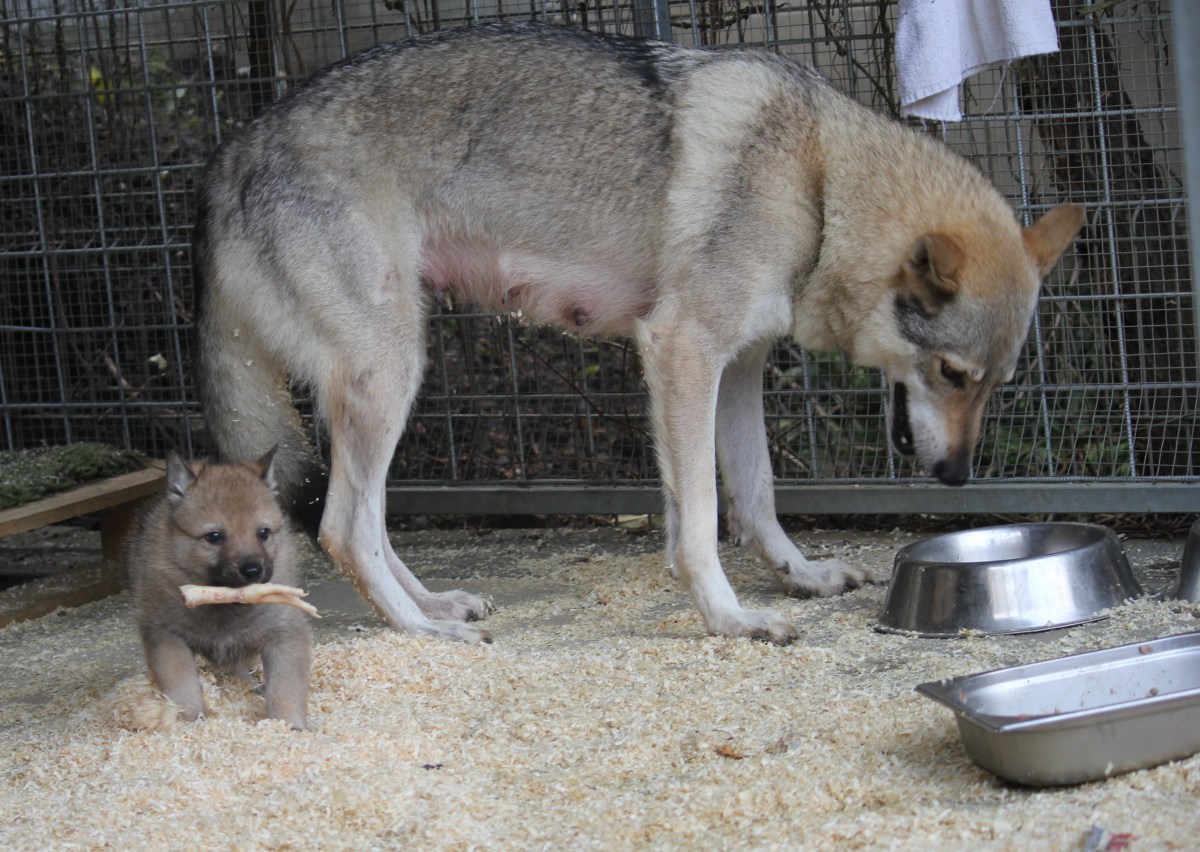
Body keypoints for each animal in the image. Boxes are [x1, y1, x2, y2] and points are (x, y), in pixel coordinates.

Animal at [127, 453, 312, 729]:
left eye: (263, 533)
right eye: (214, 537)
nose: (252, 570)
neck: (223, 603)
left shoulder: (285, 635)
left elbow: (285, 688)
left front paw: (289, 726)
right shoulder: (165, 636)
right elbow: (182, 684)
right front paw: (191, 720)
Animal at [194, 21, 1080, 648]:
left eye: (994, 385)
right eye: (952, 374)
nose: (959, 478)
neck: (820, 185)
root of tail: (234, 148)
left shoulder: (740, 366)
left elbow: (756, 493)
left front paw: (800, 577)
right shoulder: (682, 350)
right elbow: (701, 521)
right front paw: (732, 620)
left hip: (389, 381)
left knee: (369, 524)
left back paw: (436, 604)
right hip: (392, 372)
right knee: (343, 526)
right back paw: (422, 631)